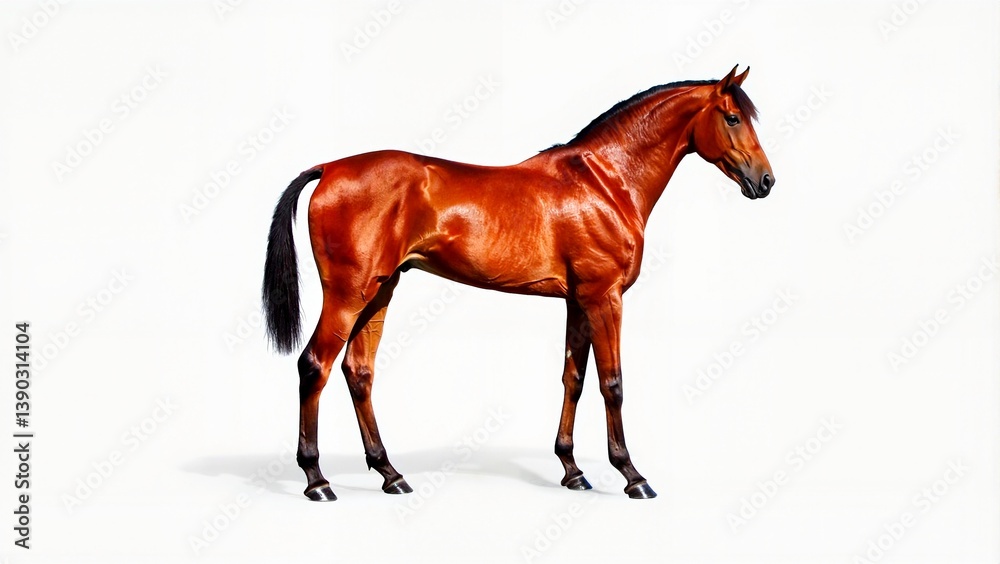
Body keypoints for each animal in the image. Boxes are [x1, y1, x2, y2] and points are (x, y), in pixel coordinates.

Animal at [262, 65, 774, 501]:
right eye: (732, 117)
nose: (765, 181)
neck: (605, 182)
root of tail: (329, 168)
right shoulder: (605, 298)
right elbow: (612, 383)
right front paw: (632, 475)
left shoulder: (578, 301)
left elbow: (573, 379)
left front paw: (572, 471)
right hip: (348, 295)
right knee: (315, 366)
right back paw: (317, 480)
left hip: (380, 291)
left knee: (358, 372)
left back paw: (391, 474)